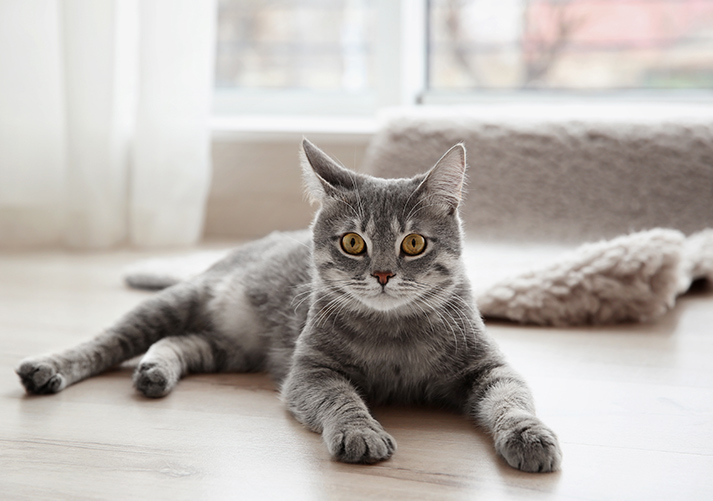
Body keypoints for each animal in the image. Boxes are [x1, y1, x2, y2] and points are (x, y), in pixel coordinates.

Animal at [15, 139, 560, 470]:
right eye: (353, 243)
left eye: (413, 244)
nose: (383, 275)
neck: (394, 336)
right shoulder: (310, 370)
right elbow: (342, 399)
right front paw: (360, 432)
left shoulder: (487, 365)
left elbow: (511, 399)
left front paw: (529, 434)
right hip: (176, 303)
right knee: (107, 340)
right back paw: (49, 367)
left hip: (232, 347)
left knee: (180, 341)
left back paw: (155, 370)